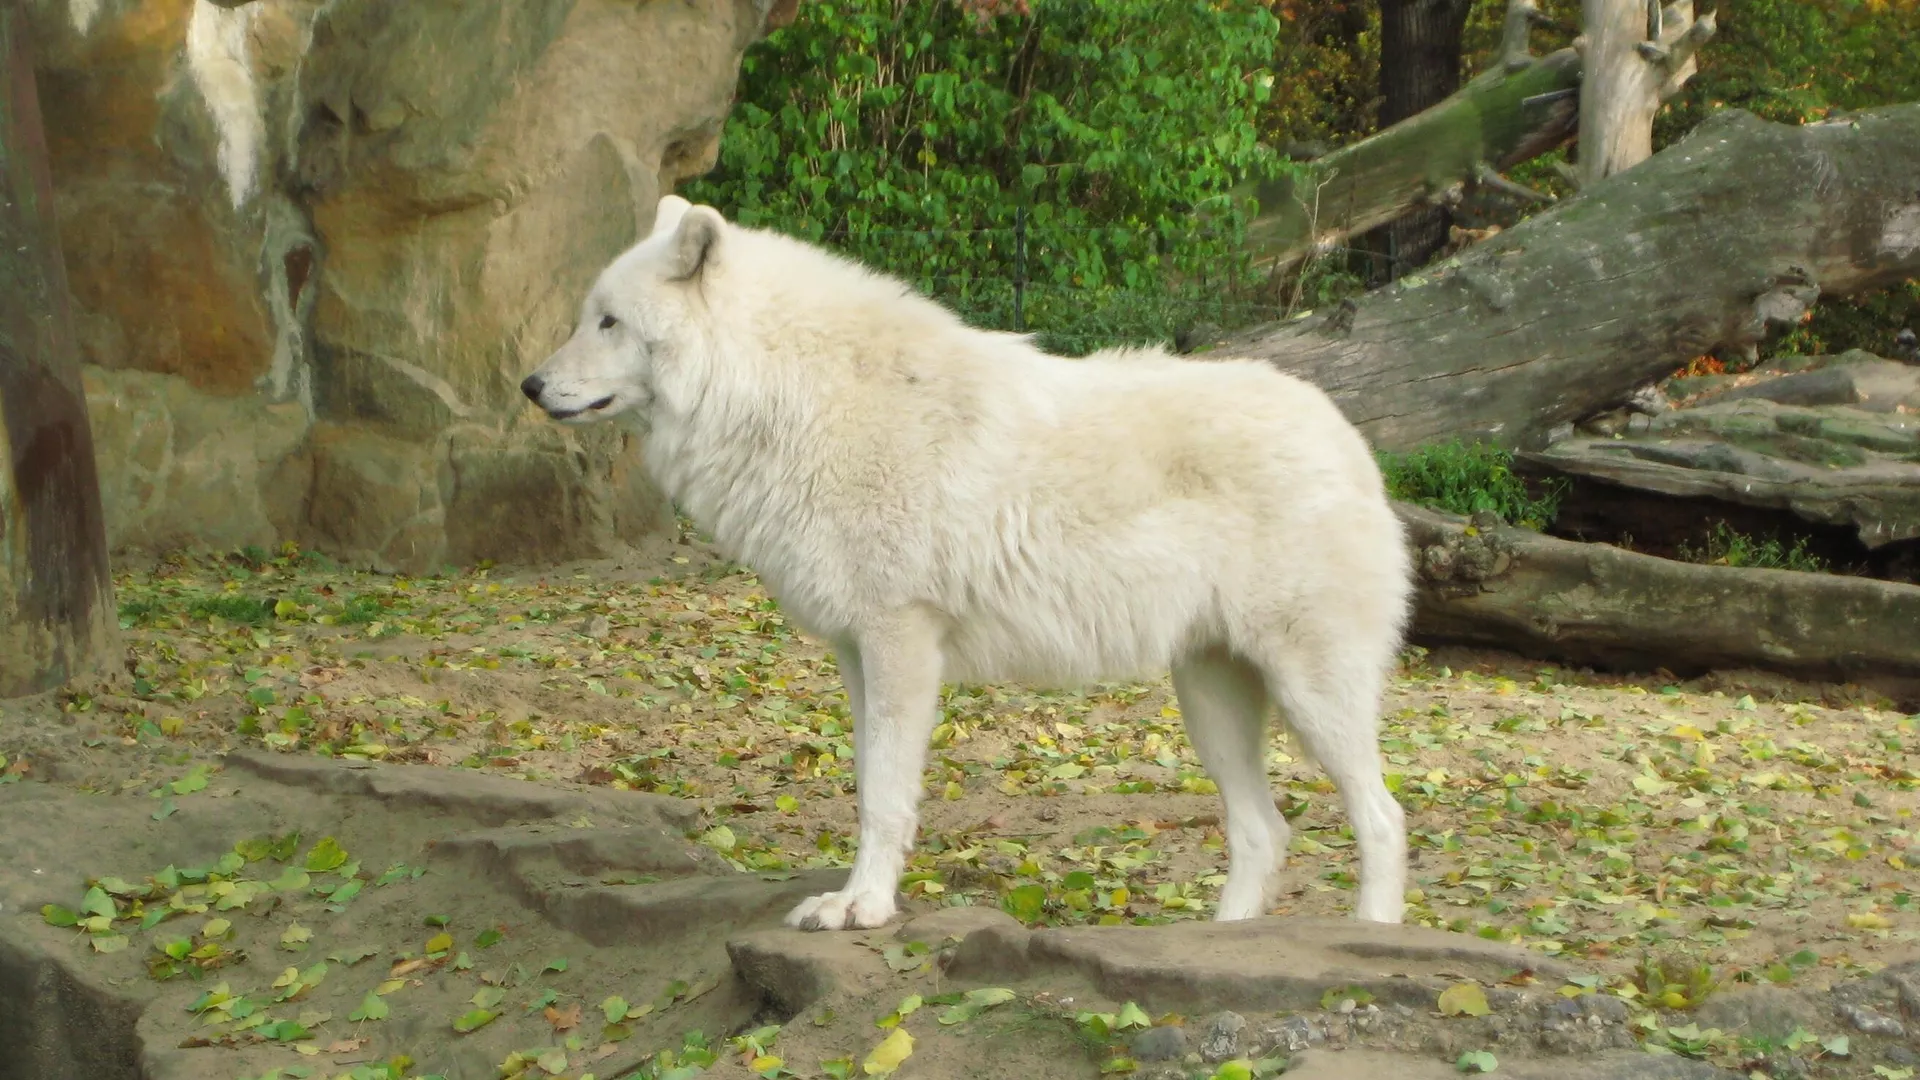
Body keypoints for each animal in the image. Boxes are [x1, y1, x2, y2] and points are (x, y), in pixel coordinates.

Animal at [522, 193, 1413, 926]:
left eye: (608, 322)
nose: (531, 385)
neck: (794, 399)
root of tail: (1348, 436)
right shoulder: (857, 654)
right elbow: (869, 787)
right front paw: (856, 898)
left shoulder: (901, 643)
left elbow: (884, 798)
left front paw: (862, 909)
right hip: (1210, 698)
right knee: (1265, 831)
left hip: (1309, 691)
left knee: (1382, 817)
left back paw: (1369, 937)